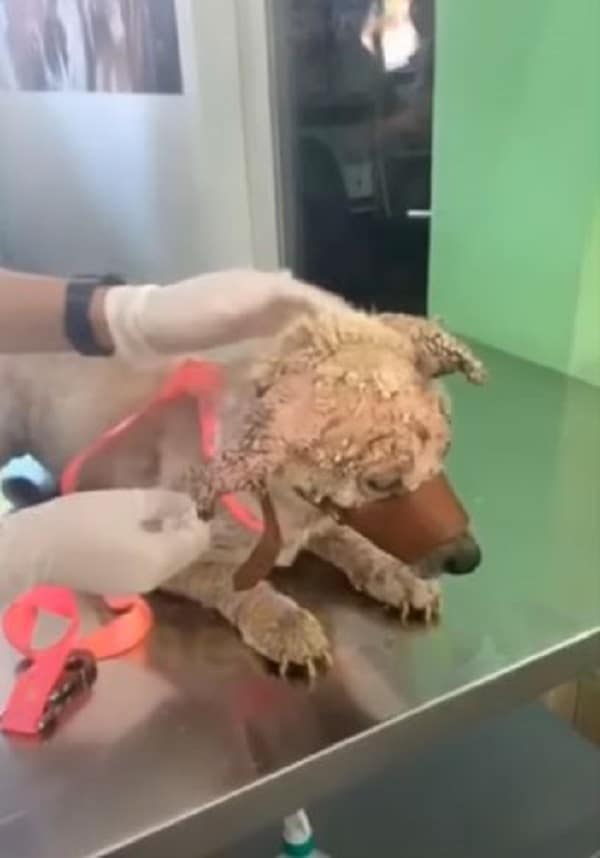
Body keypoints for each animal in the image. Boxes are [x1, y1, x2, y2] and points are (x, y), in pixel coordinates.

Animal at [0, 308, 482, 676]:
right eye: (381, 482)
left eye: (444, 452)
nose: (470, 558)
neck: (286, 505)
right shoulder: (177, 560)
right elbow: (239, 586)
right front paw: (284, 622)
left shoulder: (322, 519)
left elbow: (355, 542)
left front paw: (396, 572)